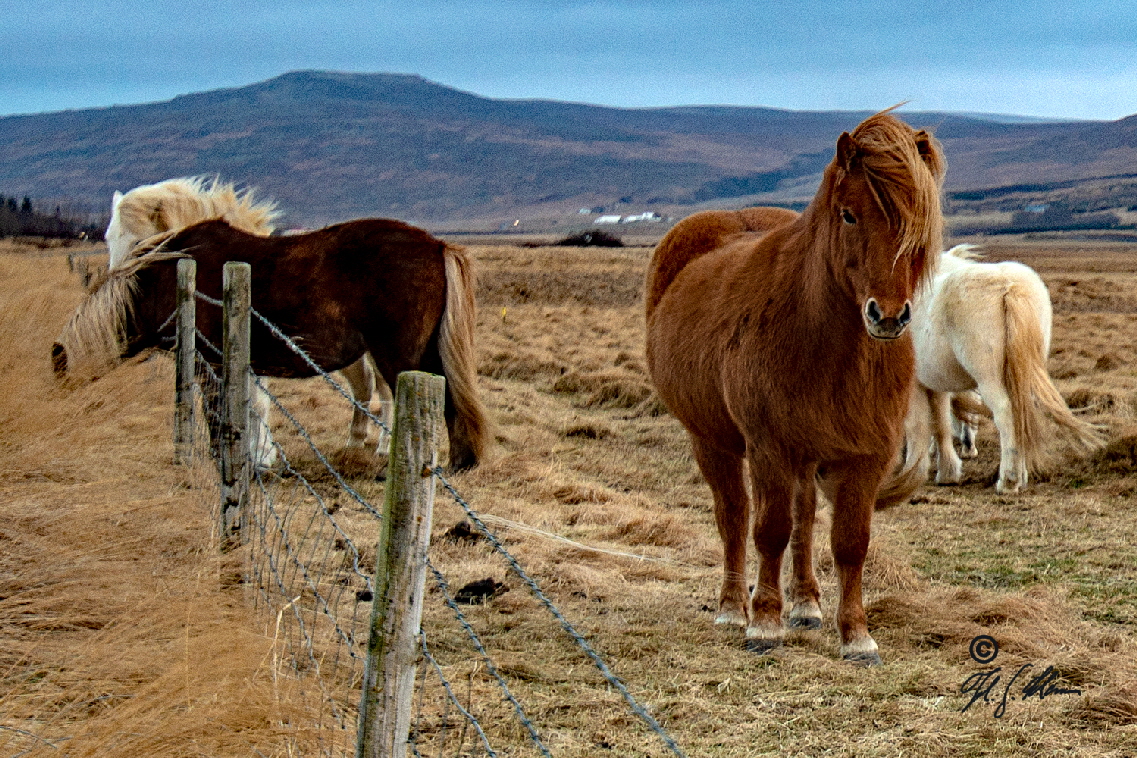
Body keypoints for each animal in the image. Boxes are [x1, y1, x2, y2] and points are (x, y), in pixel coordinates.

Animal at [106, 178, 391, 463]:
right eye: (108, 240)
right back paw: (354, 444)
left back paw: (384, 447)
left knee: (385, 390)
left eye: (141, 244)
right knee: (364, 385)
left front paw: (261, 455)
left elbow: (255, 403)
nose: (118, 297)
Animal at [645, 109, 945, 668]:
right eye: (848, 215)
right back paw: (732, 606)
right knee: (735, 516)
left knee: (805, 518)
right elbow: (769, 531)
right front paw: (764, 623)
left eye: (917, 222)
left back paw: (806, 604)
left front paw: (856, 635)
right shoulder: (770, 448)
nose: (888, 316)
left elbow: (849, 542)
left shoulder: (864, 455)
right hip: (713, 441)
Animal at [895, 242, 1100, 493]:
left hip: (989, 379)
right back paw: (1019, 476)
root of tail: (1009, 286)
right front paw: (947, 472)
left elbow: (917, 426)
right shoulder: (937, 383)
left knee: (1006, 412)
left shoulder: (915, 383)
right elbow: (941, 424)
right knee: (1021, 411)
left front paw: (910, 475)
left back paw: (1008, 481)